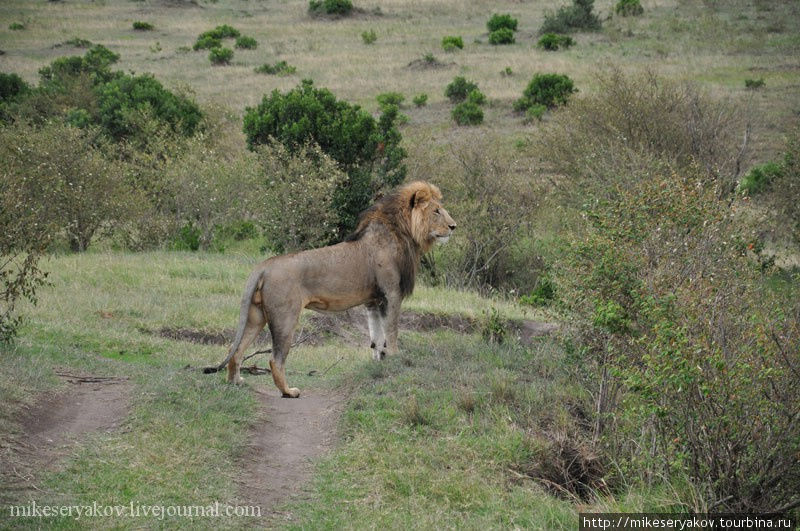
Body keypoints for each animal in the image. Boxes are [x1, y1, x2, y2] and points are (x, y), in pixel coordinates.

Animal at [219, 181, 456, 396]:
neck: (404, 233)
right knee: (274, 359)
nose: (454, 227)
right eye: (436, 211)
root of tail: (264, 266)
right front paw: (396, 360)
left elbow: (376, 337)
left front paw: (379, 363)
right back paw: (289, 391)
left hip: (256, 315)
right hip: (285, 317)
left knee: (235, 350)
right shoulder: (391, 294)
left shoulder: (374, 301)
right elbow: (391, 331)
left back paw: (235, 382)